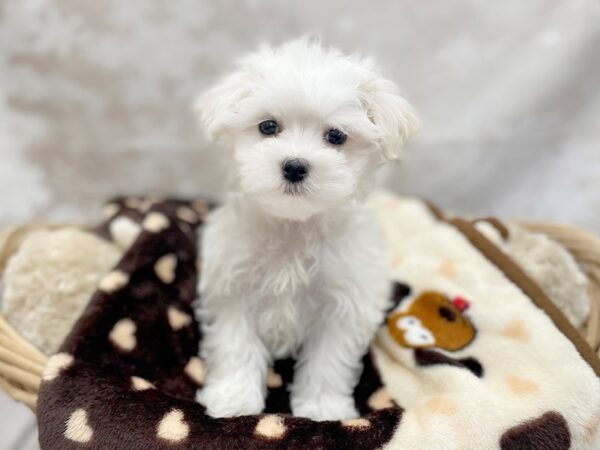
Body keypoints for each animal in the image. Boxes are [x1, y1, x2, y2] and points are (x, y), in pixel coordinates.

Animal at [195, 38, 420, 422]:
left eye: (336, 136)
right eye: (268, 127)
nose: (295, 166)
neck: (294, 226)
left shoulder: (343, 301)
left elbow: (328, 360)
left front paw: (322, 409)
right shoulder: (232, 288)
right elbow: (235, 344)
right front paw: (234, 400)